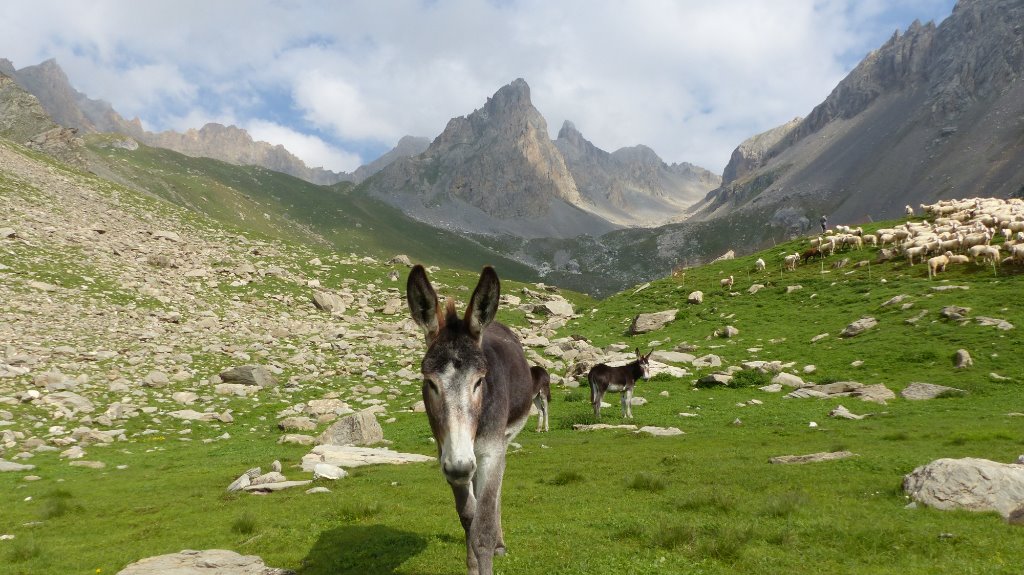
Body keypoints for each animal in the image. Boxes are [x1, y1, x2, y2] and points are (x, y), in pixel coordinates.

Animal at [407, 265, 534, 575]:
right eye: (430, 383)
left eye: (479, 381)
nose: (460, 466)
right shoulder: (446, 453)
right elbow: (468, 516)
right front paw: (471, 565)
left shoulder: (489, 451)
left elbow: (483, 531)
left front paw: (490, 546)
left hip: (502, 441)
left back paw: (501, 542)